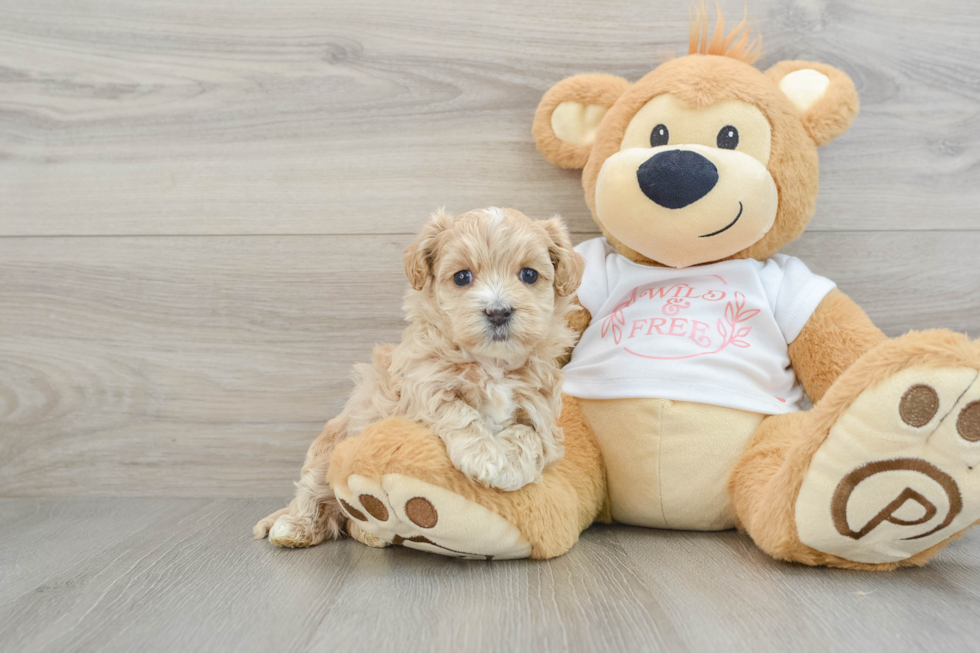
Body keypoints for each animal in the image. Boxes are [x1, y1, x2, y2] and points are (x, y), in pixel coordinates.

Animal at [256, 208, 584, 544]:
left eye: (529, 275)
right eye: (462, 277)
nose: (498, 312)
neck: (491, 362)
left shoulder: (542, 412)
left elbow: (529, 436)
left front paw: (513, 466)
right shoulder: (419, 389)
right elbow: (457, 410)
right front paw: (484, 458)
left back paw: (369, 533)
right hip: (331, 447)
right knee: (314, 492)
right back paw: (294, 526)